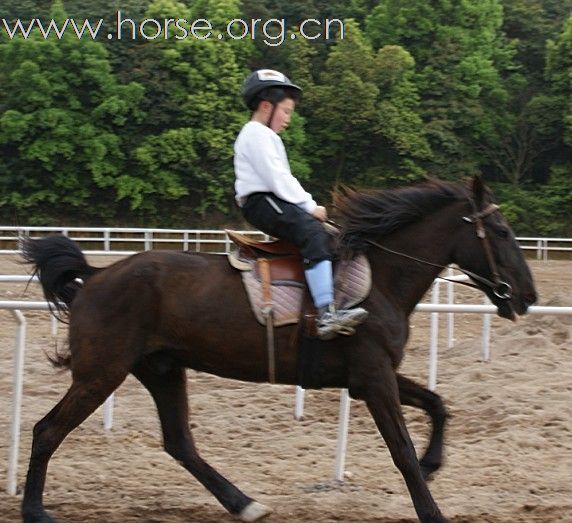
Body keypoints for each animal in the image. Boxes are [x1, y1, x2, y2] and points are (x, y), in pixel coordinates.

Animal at [19, 177, 536, 523]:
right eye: (503, 231)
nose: (527, 296)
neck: (380, 280)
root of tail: (96, 275)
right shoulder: (374, 379)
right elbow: (402, 450)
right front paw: (431, 506)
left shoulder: (372, 376)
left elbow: (437, 403)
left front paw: (433, 464)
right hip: (101, 373)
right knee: (47, 431)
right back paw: (34, 510)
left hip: (160, 369)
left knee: (179, 443)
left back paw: (244, 503)